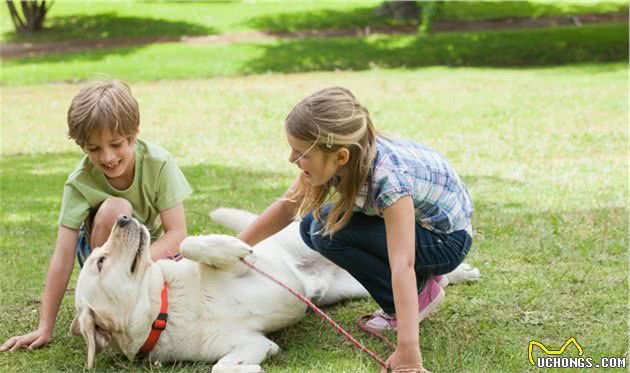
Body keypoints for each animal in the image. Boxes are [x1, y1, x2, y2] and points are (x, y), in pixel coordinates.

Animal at [71, 208, 482, 370]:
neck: (165, 306)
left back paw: (464, 272)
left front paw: (227, 246)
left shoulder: (247, 264)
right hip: (349, 287)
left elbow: (191, 245)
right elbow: (221, 367)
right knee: (424, 282)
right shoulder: (252, 343)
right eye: (101, 262)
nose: (124, 218)